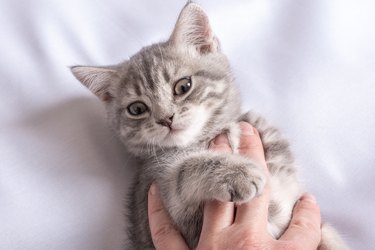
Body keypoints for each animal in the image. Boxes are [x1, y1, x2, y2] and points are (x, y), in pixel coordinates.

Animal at [71, 2, 350, 250]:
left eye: (183, 86)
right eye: (137, 109)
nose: (166, 118)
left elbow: (325, 233)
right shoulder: (162, 192)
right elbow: (186, 170)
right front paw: (237, 172)